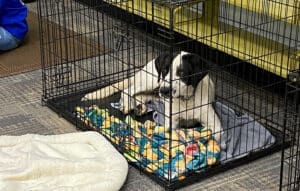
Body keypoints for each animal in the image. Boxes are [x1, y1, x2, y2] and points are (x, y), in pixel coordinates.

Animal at [83, 50, 221, 140]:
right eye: (165, 70)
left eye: (182, 73)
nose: (165, 90)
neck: (185, 101)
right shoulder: (171, 123)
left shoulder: (215, 125)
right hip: (152, 82)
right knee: (128, 91)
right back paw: (127, 105)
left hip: (155, 93)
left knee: (141, 96)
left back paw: (140, 107)